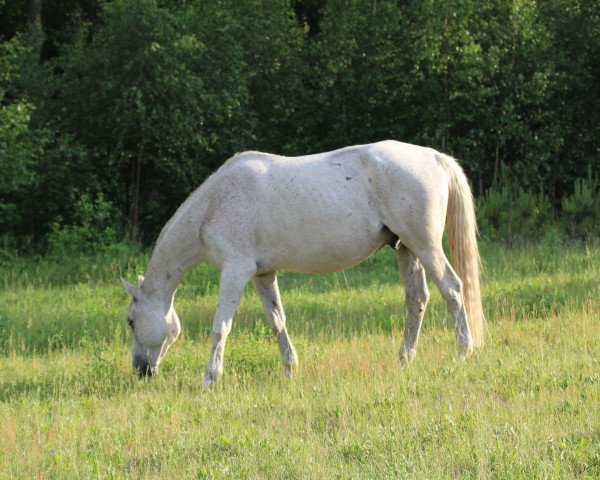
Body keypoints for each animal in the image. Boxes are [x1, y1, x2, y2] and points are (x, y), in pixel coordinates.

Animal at [120, 140, 482, 386]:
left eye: (130, 321)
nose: (140, 371)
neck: (215, 204)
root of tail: (435, 157)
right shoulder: (262, 274)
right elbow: (277, 321)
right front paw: (289, 368)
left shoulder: (235, 271)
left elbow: (221, 326)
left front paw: (210, 378)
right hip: (406, 248)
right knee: (417, 299)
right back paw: (405, 359)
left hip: (425, 245)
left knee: (453, 289)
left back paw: (463, 353)